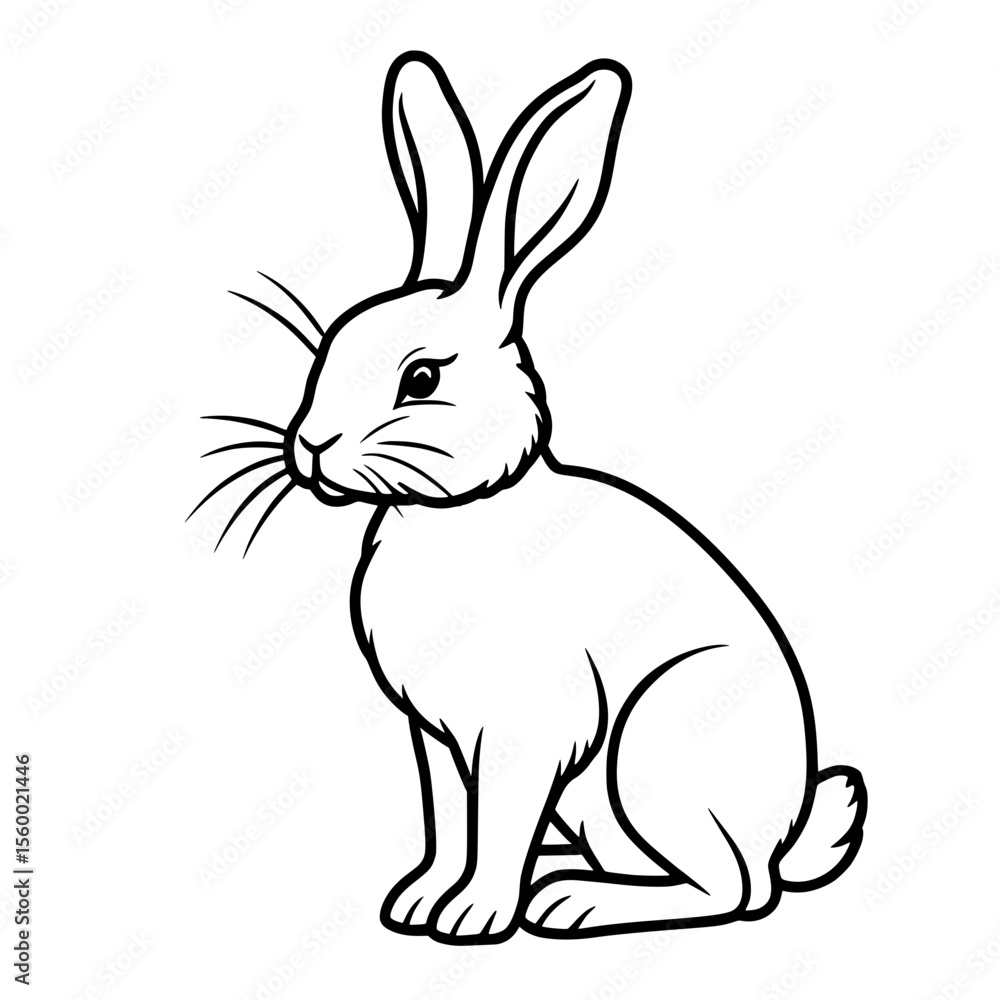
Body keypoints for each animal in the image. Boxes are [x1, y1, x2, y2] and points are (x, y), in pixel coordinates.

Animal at [197, 51, 867, 944]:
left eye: (421, 377)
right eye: (331, 349)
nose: (309, 446)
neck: (454, 512)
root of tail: (784, 831)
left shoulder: (524, 736)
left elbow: (499, 826)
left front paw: (472, 918)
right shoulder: (438, 739)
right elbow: (451, 822)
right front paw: (417, 902)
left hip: (650, 752)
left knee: (733, 889)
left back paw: (572, 904)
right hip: (599, 801)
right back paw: (567, 885)